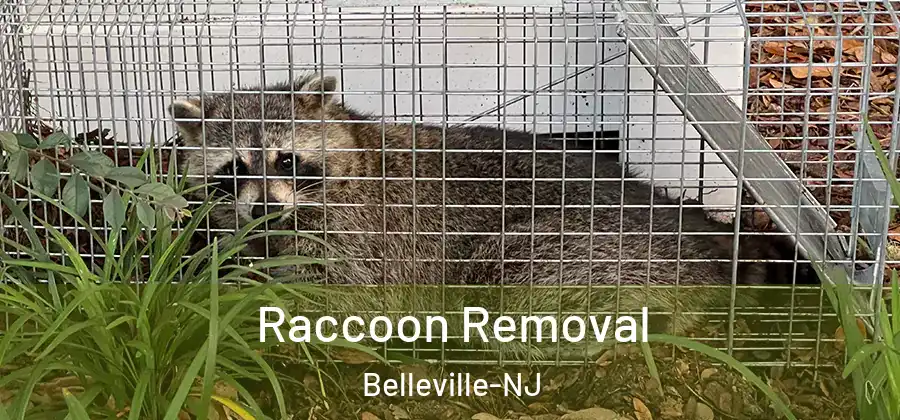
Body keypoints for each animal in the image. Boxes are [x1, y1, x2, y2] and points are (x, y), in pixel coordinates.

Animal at [168, 73, 815, 357]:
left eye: (286, 158)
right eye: (235, 168)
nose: (265, 206)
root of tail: (697, 237)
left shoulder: (366, 234)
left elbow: (346, 295)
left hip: (585, 248)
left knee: (511, 277)